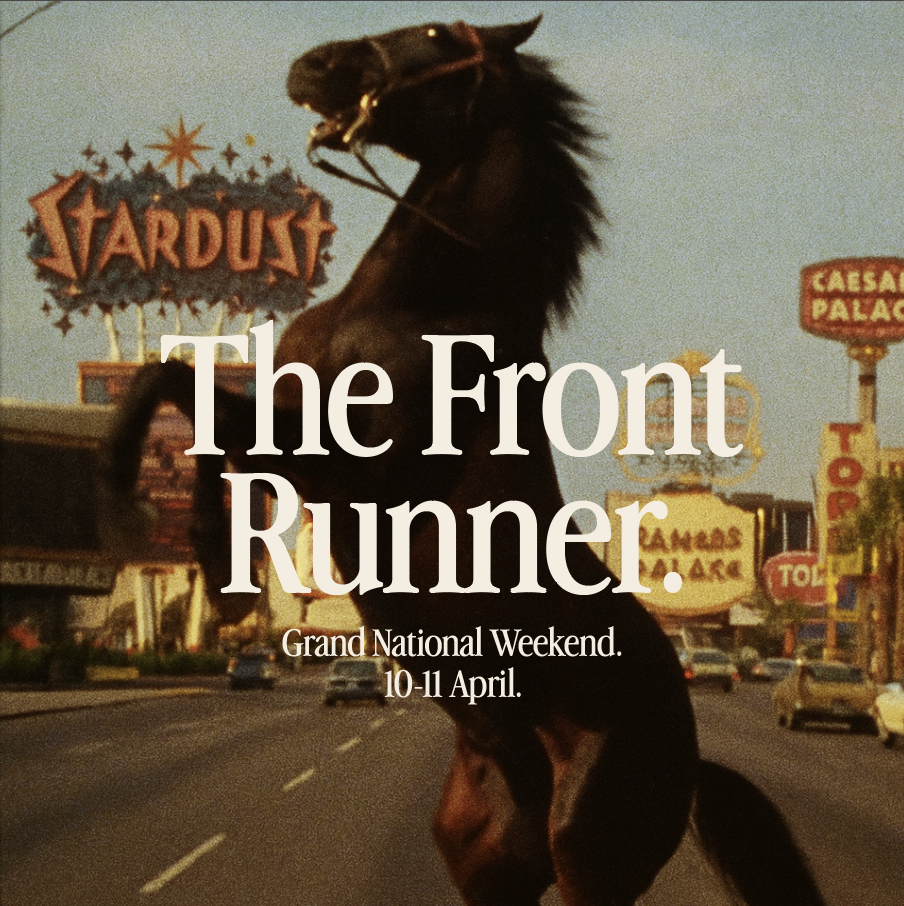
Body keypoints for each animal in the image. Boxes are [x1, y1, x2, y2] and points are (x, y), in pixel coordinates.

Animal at [100, 17, 826, 906]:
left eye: (438, 34)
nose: (310, 64)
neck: (421, 305)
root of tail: (691, 763)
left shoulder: (344, 469)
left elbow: (186, 398)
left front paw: (170, 532)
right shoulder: (294, 434)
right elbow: (179, 389)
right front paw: (207, 560)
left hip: (588, 849)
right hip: (488, 852)